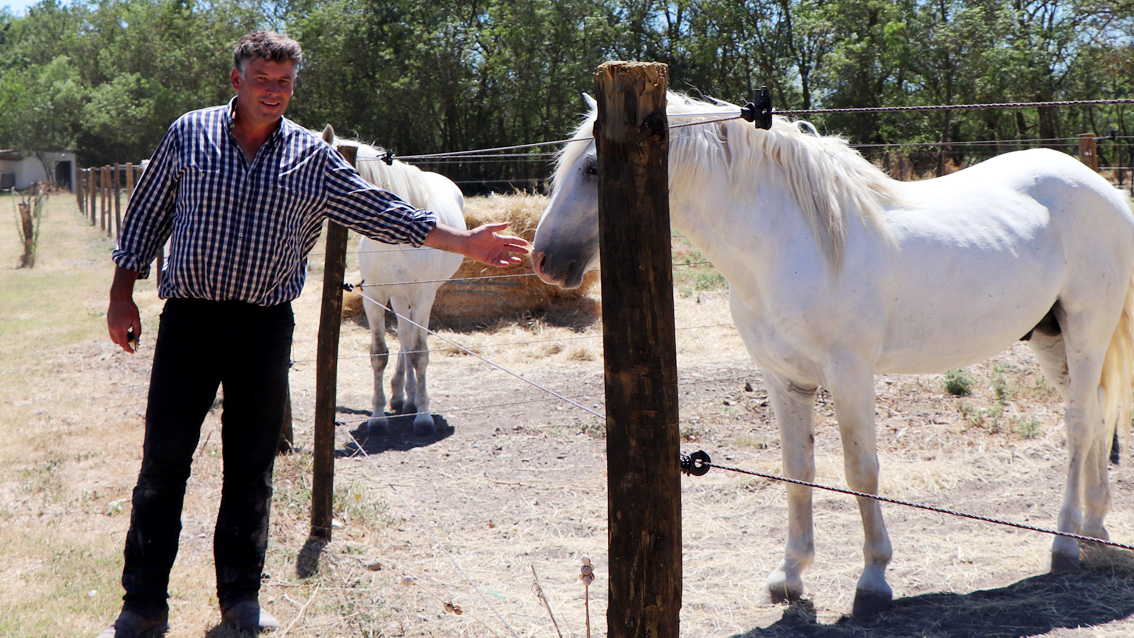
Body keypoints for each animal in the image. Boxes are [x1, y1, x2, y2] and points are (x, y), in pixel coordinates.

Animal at [320, 126, 466, 436]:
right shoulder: (373, 298)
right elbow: (379, 354)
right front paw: (377, 418)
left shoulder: (423, 297)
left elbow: (420, 353)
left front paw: (423, 417)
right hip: (398, 297)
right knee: (404, 333)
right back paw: (402, 396)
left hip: (418, 297)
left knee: (410, 337)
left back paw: (411, 399)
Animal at [531, 94, 1134, 615]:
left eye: (592, 169)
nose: (542, 260)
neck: (789, 244)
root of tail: (1102, 190)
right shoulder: (783, 380)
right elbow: (797, 469)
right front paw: (789, 575)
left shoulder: (850, 375)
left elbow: (860, 470)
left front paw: (873, 580)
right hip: (1052, 339)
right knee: (1096, 419)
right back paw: (1097, 532)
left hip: (1087, 330)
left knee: (1079, 426)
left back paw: (1065, 544)